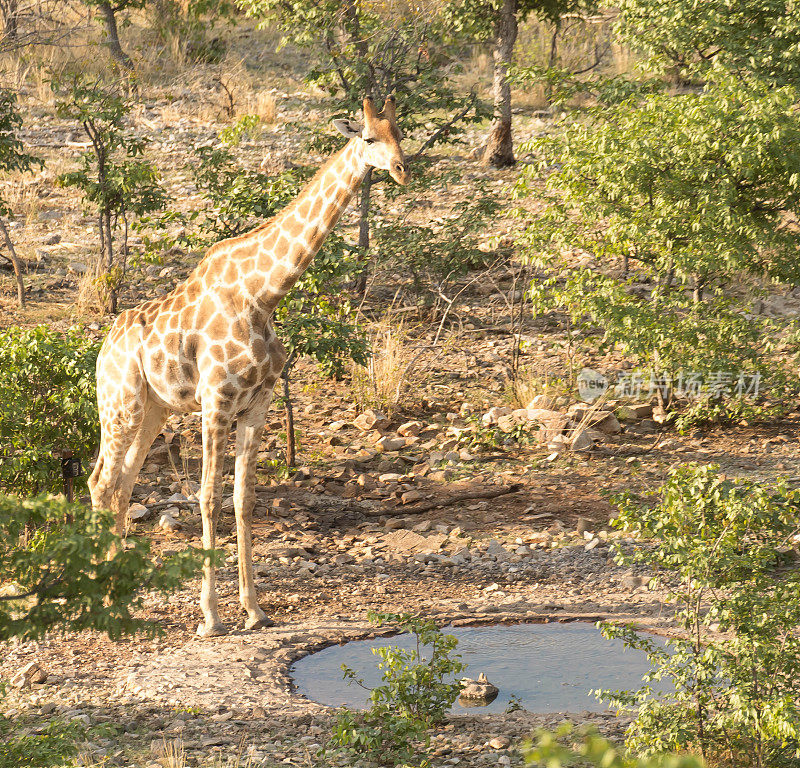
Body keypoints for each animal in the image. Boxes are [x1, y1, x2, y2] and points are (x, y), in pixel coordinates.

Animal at [90, 94, 410, 636]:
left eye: (401, 135)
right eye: (369, 138)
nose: (403, 169)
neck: (263, 294)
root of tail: (101, 352)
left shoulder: (257, 404)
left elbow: (244, 498)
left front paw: (254, 610)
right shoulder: (216, 402)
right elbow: (207, 497)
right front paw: (210, 618)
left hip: (153, 409)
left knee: (124, 481)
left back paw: (121, 593)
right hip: (120, 404)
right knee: (102, 482)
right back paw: (101, 599)